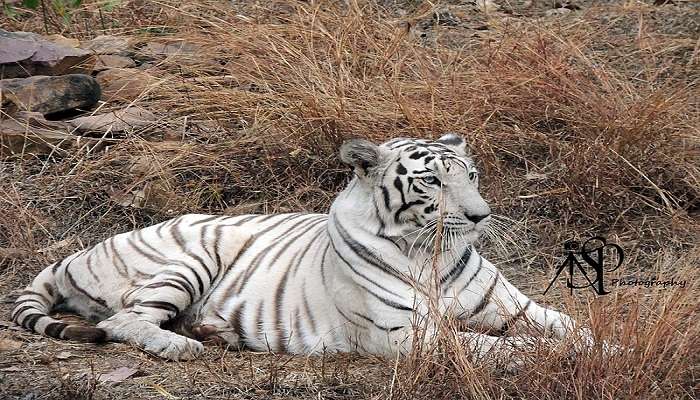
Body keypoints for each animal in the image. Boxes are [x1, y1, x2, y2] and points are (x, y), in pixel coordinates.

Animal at [12, 135, 596, 362]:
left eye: (470, 175)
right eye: (432, 181)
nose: (480, 216)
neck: (432, 253)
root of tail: (77, 252)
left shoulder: (513, 305)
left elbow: (568, 325)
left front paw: (600, 347)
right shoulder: (409, 334)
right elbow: (505, 348)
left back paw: (212, 332)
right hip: (190, 256)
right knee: (122, 321)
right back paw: (182, 345)